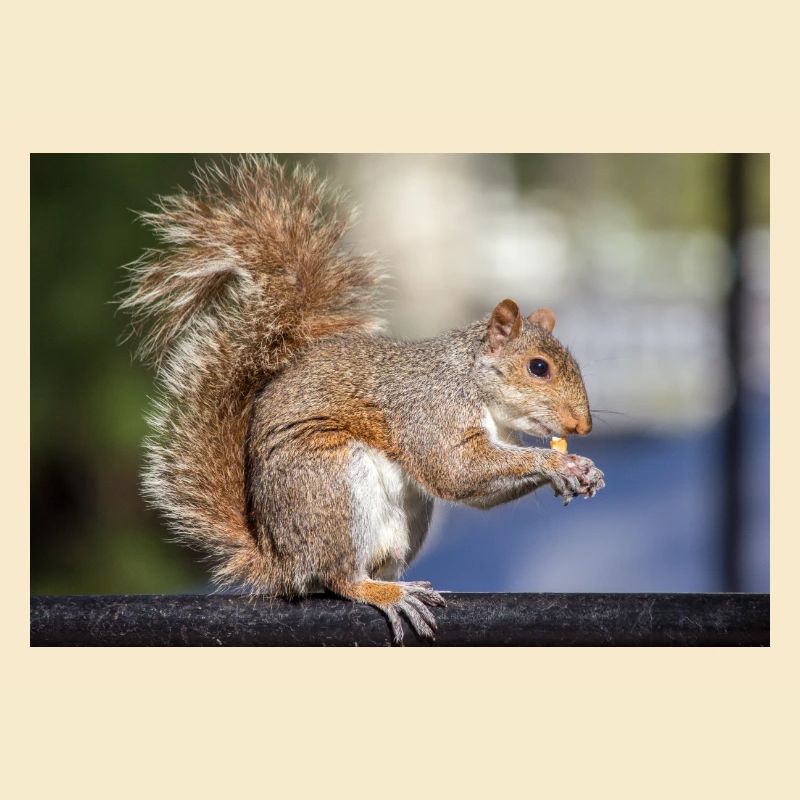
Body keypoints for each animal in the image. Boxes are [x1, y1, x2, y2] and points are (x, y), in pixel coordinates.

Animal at [120, 155, 605, 643]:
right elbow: (453, 470)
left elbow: (476, 489)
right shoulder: (430, 410)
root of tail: (279, 559)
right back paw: (384, 593)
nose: (583, 427)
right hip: (329, 480)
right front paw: (559, 463)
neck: (475, 386)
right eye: (538, 367)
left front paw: (582, 470)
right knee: (339, 578)